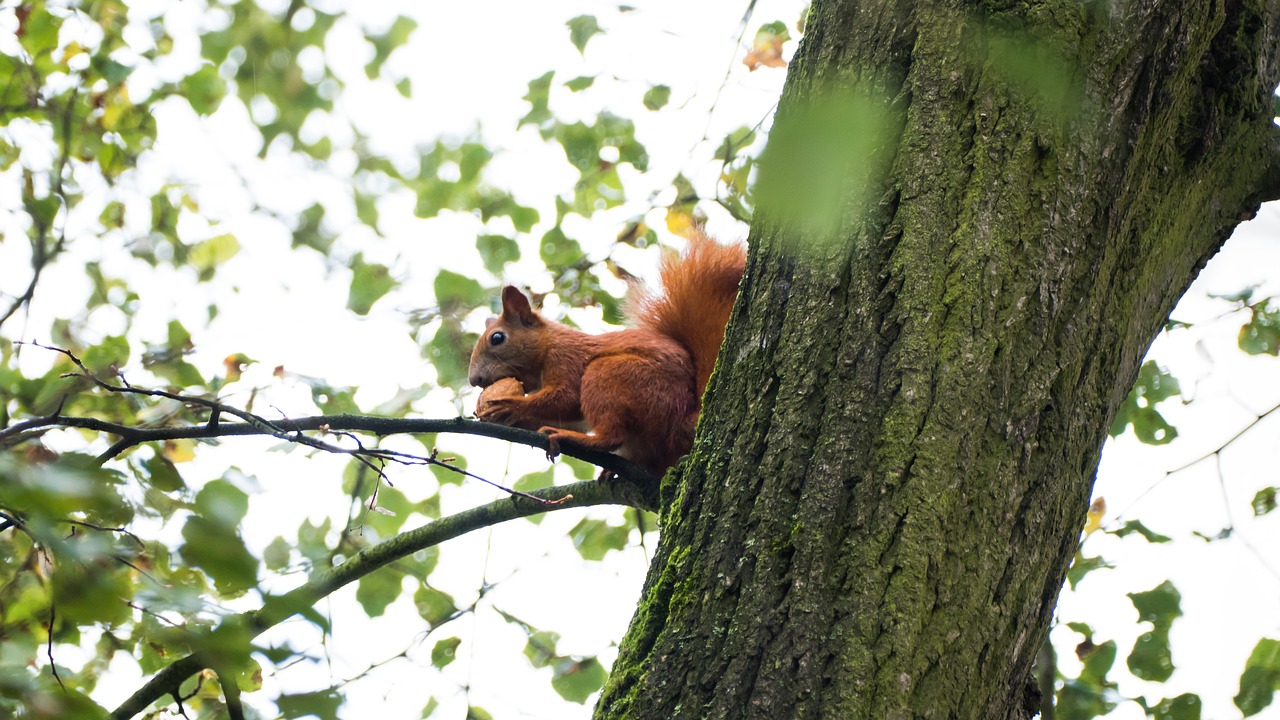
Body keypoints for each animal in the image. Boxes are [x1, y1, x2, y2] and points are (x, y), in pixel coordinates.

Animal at [471, 233, 747, 474]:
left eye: (497, 338)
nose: (475, 380)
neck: (547, 345)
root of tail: (683, 417)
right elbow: (568, 416)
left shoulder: (565, 357)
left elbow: (567, 398)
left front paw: (511, 405)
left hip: (615, 376)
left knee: (612, 436)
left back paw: (574, 439)